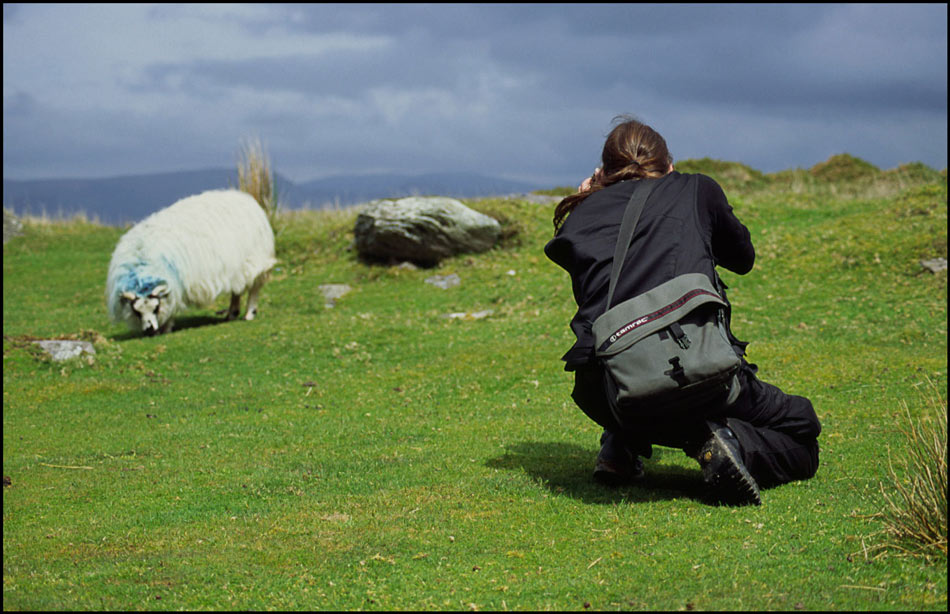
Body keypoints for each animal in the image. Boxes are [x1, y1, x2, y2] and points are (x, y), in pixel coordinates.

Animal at [109, 190, 278, 336]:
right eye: (137, 311)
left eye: (156, 308)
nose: (149, 330)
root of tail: (247, 199)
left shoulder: (176, 286)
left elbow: (172, 307)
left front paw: (166, 327)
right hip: (237, 267)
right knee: (237, 289)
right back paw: (231, 313)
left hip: (255, 260)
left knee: (254, 287)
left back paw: (249, 313)